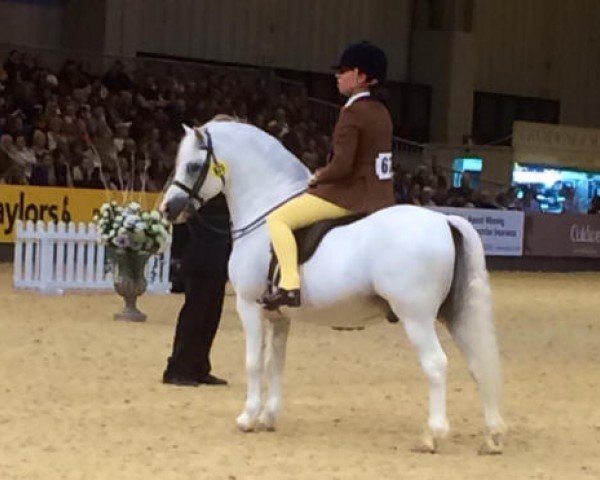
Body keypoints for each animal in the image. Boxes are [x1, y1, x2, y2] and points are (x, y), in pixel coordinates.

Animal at [161, 120, 506, 454]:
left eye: (192, 166)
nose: (168, 209)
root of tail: (445, 220)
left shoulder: (248, 306)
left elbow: (254, 362)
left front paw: (248, 417)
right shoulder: (279, 316)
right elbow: (275, 363)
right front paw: (268, 417)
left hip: (416, 318)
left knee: (436, 364)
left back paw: (432, 436)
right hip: (453, 315)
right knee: (478, 364)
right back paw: (492, 436)